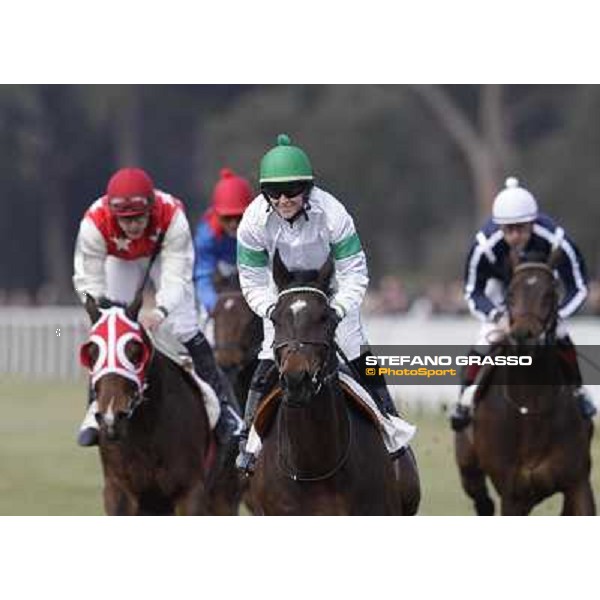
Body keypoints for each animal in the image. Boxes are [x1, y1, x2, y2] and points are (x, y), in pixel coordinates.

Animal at [81, 296, 240, 516]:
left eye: (135, 352)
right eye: (92, 353)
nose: (111, 418)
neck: (146, 434)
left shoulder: (190, 492)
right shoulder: (118, 490)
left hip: (224, 494)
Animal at [458, 253, 592, 516]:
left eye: (550, 293)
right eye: (510, 294)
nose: (523, 335)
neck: (533, 406)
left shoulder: (578, 482)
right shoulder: (513, 494)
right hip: (469, 467)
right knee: (481, 499)